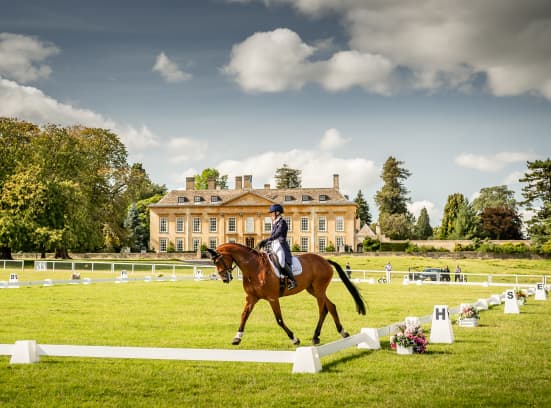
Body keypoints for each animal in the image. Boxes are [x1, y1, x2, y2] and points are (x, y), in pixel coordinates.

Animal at [207, 244, 366, 346]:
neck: (254, 268)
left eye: (219, 260)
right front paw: (237, 338)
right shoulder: (251, 298)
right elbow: (244, 315)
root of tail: (324, 260)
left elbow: (279, 320)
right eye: (214, 262)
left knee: (323, 309)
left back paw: (316, 336)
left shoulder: (272, 298)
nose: (225, 279)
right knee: (331, 306)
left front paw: (294, 339)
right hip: (313, 290)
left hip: (319, 289)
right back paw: (341, 332)